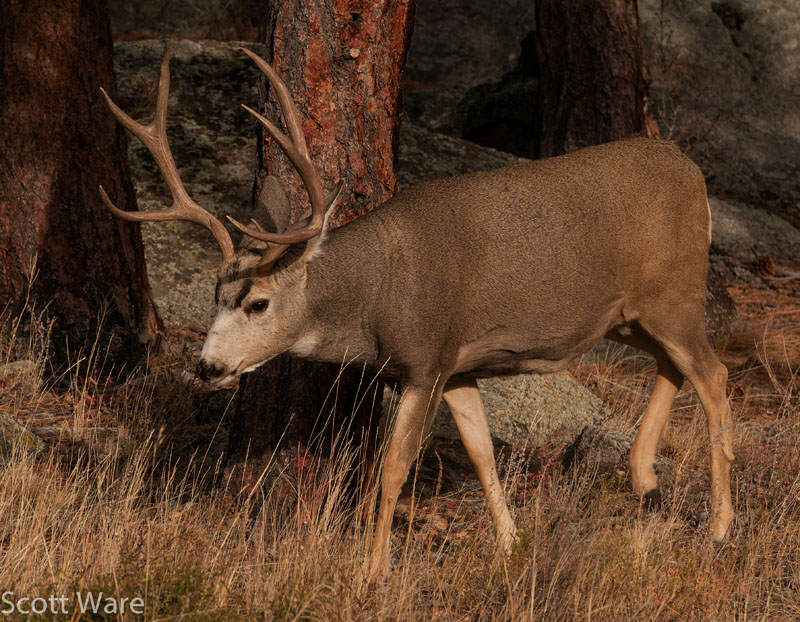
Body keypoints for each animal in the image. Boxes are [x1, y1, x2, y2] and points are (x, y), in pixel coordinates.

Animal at [99, 42, 734, 582]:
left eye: (259, 302)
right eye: (213, 293)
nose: (207, 366)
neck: (377, 294)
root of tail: (689, 166)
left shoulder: (425, 359)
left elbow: (392, 469)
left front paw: (373, 570)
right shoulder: (459, 366)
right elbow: (481, 453)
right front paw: (511, 545)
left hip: (676, 291)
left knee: (715, 373)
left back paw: (721, 525)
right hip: (630, 315)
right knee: (675, 367)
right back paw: (644, 476)